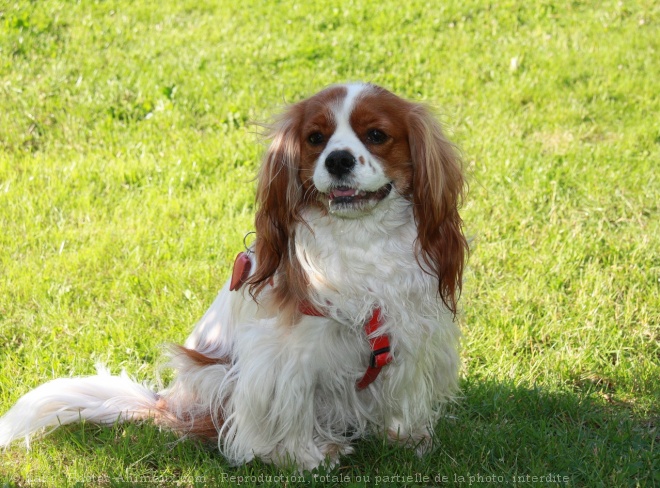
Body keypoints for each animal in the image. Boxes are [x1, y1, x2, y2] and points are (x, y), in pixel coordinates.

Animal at [0, 82, 466, 470]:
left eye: (376, 135)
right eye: (315, 139)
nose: (337, 160)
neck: (361, 238)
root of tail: (168, 405)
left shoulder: (410, 329)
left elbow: (402, 392)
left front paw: (405, 436)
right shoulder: (283, 355)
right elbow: (291, 403)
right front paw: (304, 456)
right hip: (214, 376)